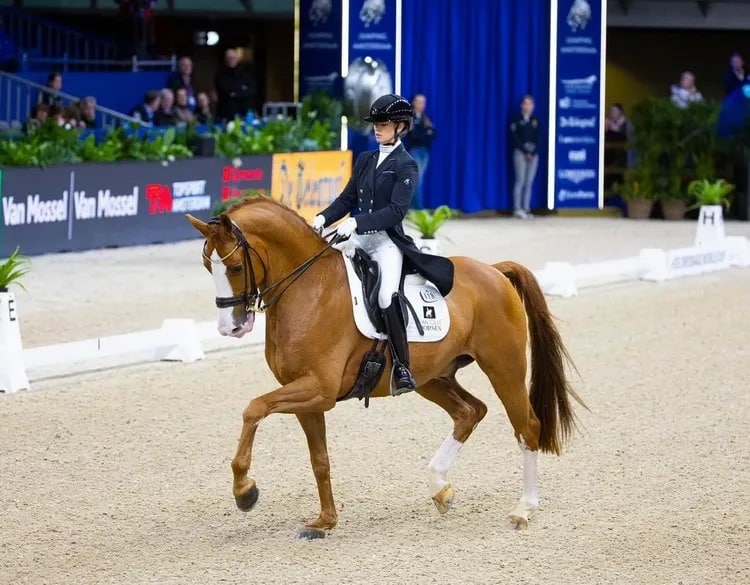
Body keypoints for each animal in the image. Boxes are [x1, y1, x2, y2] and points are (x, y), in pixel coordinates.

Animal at [187, 196, 588, 540]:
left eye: (236, 266)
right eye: (208, 266)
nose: (231, 328)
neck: (309, 289)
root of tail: (493, 270)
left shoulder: (318, 389)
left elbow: (253, 408)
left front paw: (245, 491)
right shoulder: (307, 397)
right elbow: (319, 459)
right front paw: (324, 522)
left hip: (503, 367)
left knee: (527, 426)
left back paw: (523, 510)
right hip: (432, 377)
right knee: (470, 411)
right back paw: (440, 488)